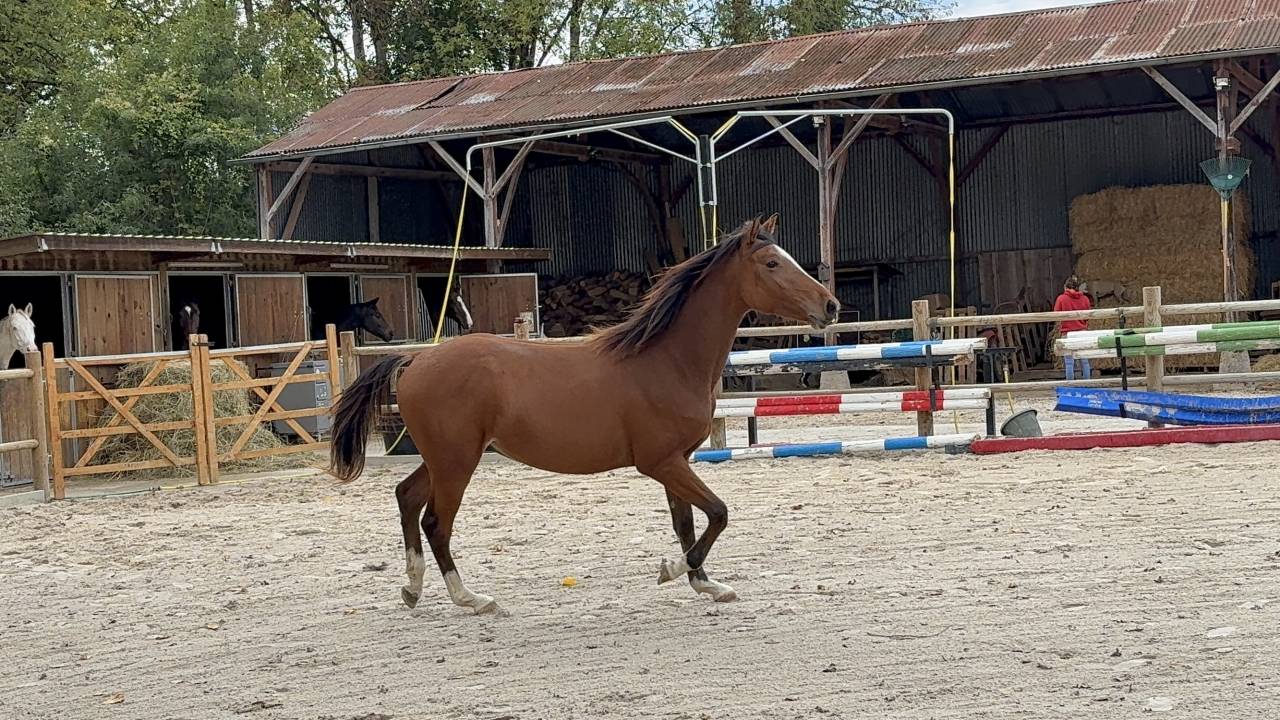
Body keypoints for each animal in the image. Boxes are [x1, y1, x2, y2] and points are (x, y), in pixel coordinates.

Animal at [328, 215, 839, 614]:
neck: (666, 360)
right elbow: (717, 513)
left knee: (407, 498)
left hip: (442, 458)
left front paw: (705, 584)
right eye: (771, 263)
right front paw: (674, 569)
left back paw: (412, 589)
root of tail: (415, 359)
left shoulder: (676, 462)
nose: (830, 305)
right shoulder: (660, 462)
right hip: (457, 462)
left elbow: (687, 522)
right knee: (436, 522)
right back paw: (471, 598)